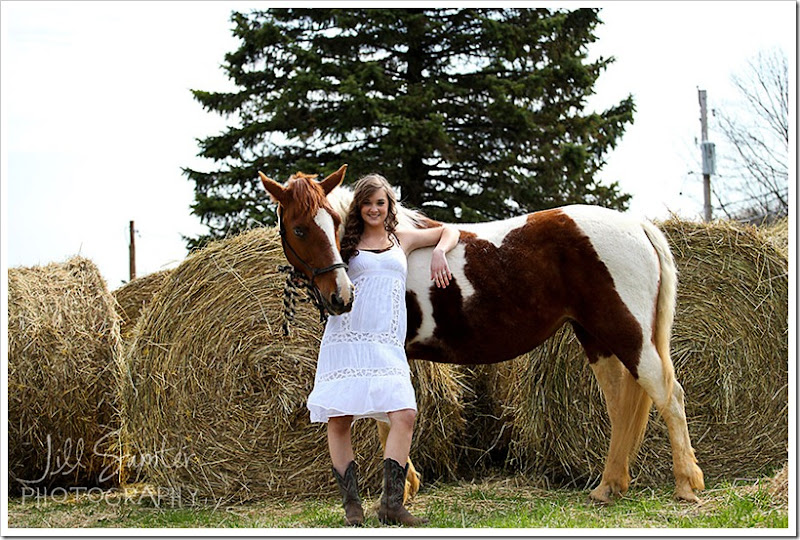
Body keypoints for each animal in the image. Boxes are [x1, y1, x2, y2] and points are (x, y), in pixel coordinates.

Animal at [258, 164, 705, 504]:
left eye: (331, 222)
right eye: (299, 228)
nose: (340, 296)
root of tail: (638, 226)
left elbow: (385, 416)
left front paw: (402, 488)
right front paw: (408, 484)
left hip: (627, 332)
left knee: (668, 394)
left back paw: (686, 484)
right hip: (596, 338)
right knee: (619, 405)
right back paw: (608, 487)